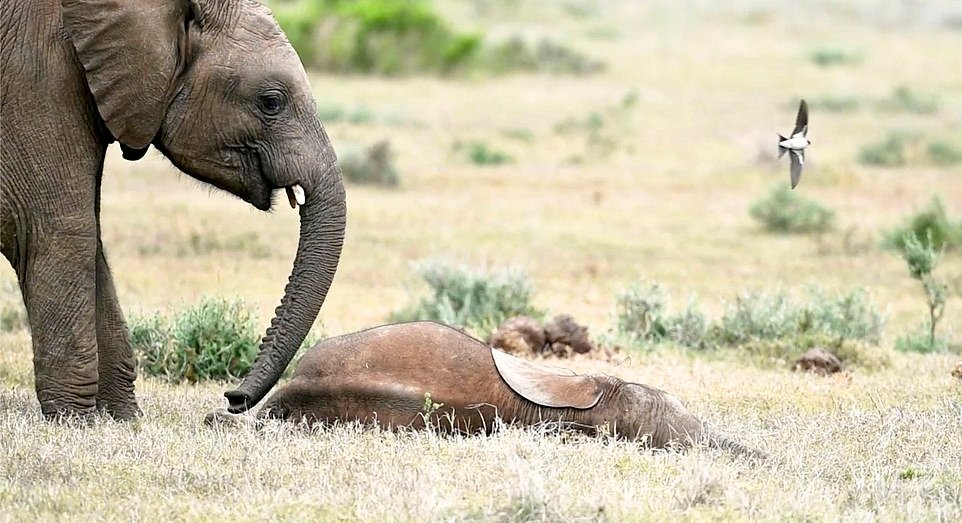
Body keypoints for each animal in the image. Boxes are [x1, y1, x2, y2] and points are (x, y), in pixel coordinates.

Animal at [0, 0, 344, 420]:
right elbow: (54, 231)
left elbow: (90, 241)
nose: (231, 400)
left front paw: (120, 419)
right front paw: (74, 421)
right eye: (271, 102)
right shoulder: (35, 78)